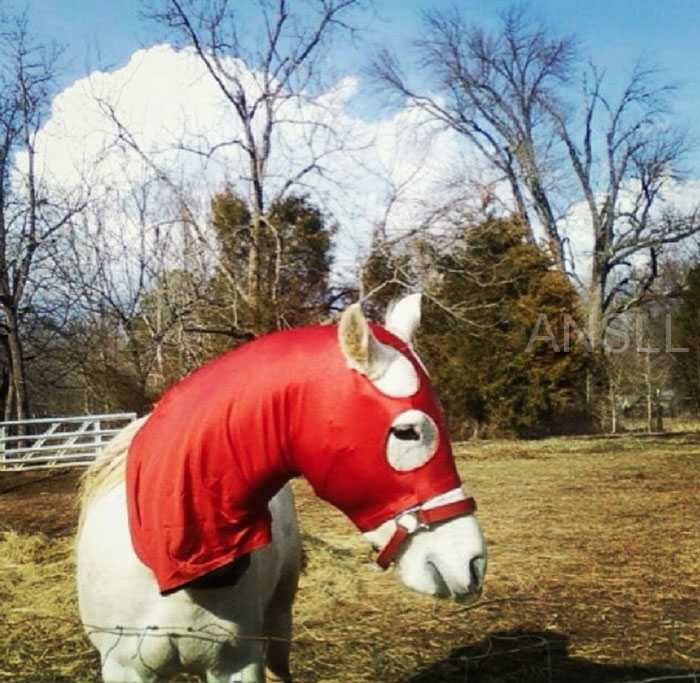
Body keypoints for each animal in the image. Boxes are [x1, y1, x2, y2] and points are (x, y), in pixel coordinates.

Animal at [74, 298, 484, 683]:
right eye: (407, 432)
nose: (473, 563)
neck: (171, 561)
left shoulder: (238, 664)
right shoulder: (125, 668)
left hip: (279, 617)